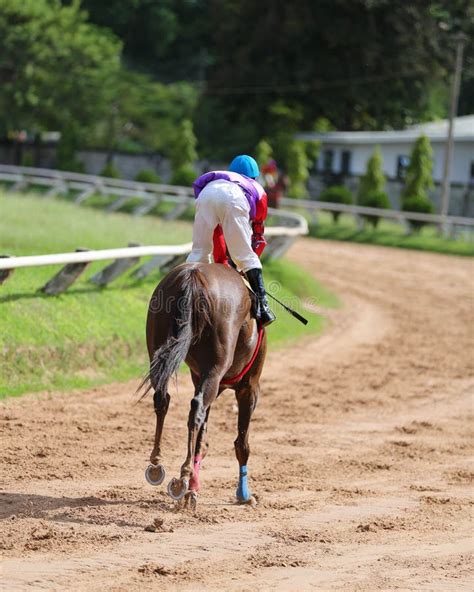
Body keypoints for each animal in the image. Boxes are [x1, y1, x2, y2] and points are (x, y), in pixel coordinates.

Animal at [140, 264, 266, 508]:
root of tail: (193, 276)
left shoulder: (204, 382)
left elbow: (202, 439)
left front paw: (193, 490)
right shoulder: (249, 388)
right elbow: (241, 442)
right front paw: (244, 494)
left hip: (158, 343)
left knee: (162, 399)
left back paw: (157, 464)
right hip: (216, 368)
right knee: (196, 408)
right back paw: (182, 475)